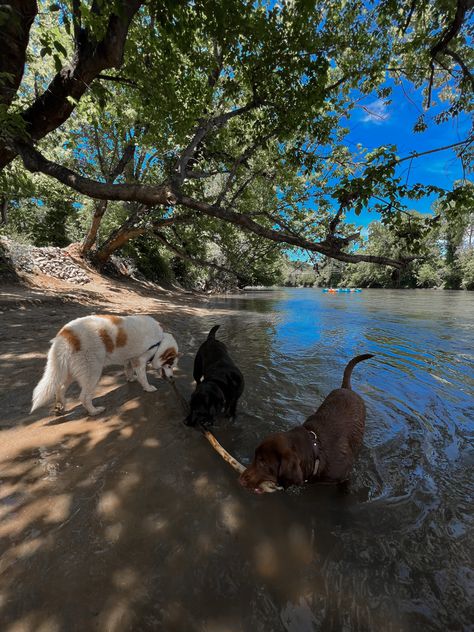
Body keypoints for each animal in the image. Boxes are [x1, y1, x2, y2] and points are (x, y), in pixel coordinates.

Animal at [30, 314, 178, 414]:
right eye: (170, 365)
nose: (172, 378)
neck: (159, 342)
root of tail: (67, 333)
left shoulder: (130, 359)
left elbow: (128, 369)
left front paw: (131, 378)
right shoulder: (140, 361)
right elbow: (143, 377)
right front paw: (148, 388)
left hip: (72, 371)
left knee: (60, 388)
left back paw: (60, 406)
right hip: (93, 372)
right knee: (83, 397)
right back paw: (94, 411)